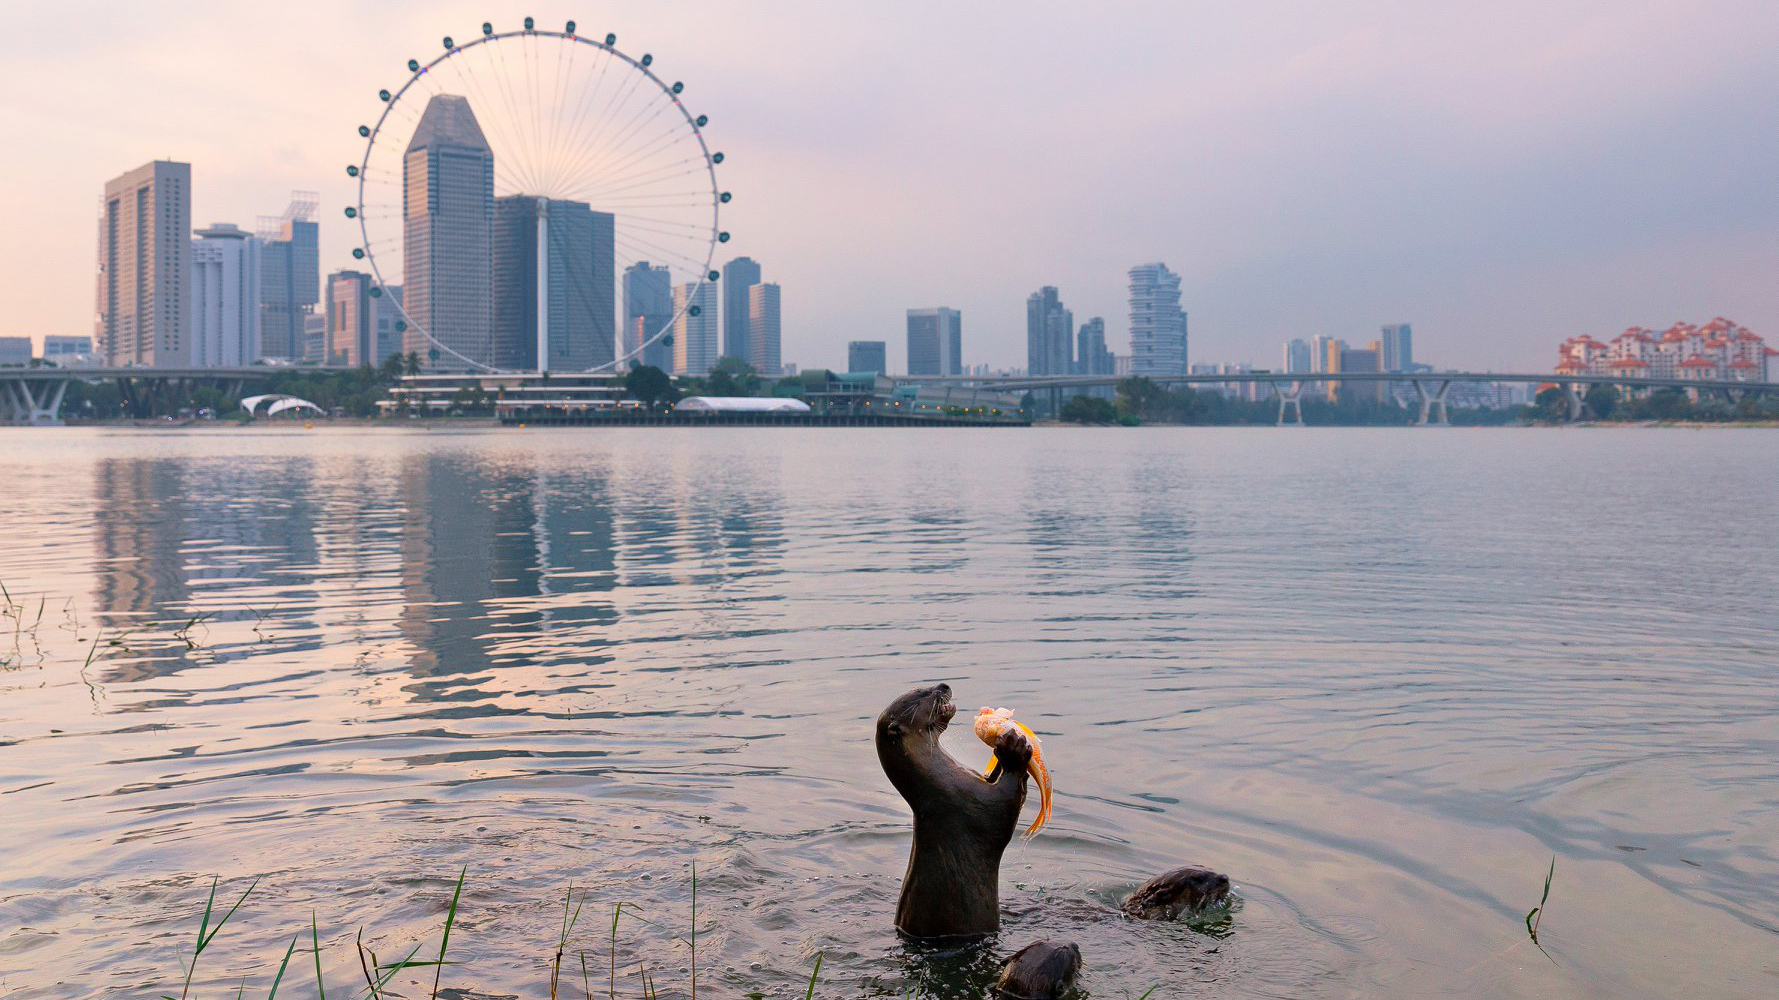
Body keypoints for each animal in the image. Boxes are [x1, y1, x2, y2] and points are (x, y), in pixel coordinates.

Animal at [876, 683, 1033, 939]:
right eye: (922, 693)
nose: (943, 685)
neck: (940, 782)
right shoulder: (975, 805)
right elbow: (1007, 805)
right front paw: (1013, 750)